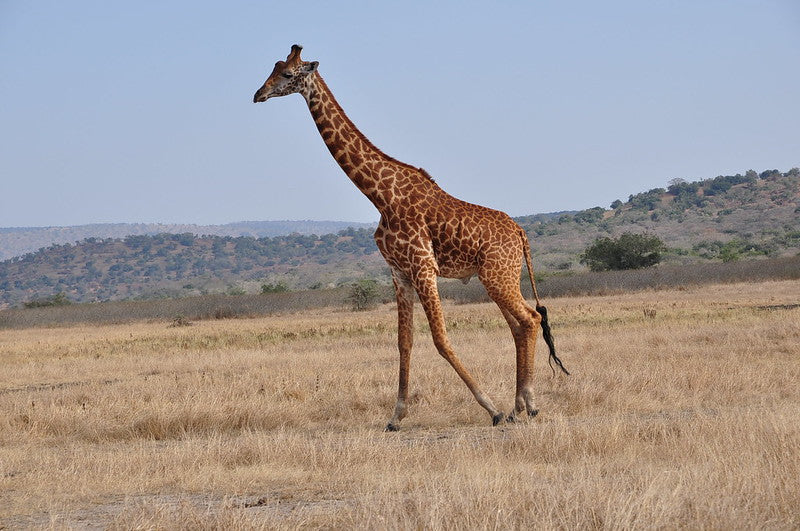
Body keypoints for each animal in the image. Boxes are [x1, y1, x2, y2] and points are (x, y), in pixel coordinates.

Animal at [253, 43, 564, 430]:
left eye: (286, 73)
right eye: (273, 68)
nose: (258, 94)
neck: (380, 194)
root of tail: (521, 232)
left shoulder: (423, 266)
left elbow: (441, 338)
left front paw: (490, 408)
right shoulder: (399, 272)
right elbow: (404, 342)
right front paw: (396, 416)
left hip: (497, 274)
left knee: (530, 319)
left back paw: (527, 404)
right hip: (500, 276)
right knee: (520, 323)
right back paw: (519, 405)